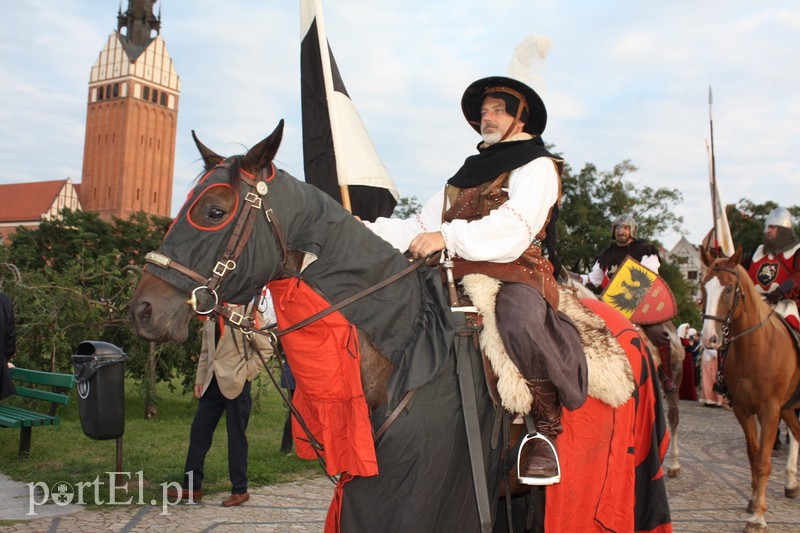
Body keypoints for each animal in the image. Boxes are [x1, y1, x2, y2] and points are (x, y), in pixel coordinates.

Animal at [696, 246, 796, 532]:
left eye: (729, 289)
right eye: (704, 288)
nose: (709, 338)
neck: (756, 348)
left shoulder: (770, 411)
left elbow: (763, 461)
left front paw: (758, 517)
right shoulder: (743, 410)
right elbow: (753, 456)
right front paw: (753, 501)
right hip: (789, 407)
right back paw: (791, 483)